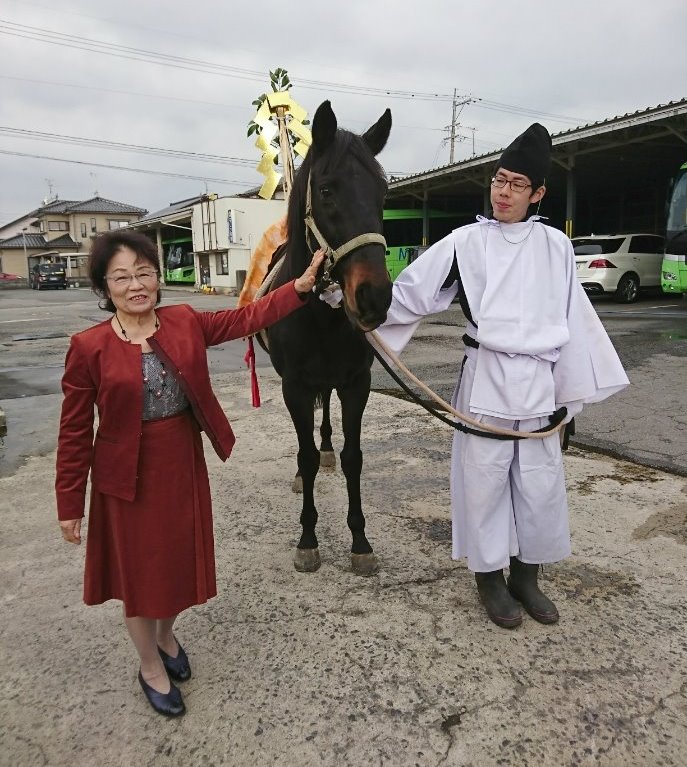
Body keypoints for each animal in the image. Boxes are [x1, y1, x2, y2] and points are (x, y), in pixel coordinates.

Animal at [266, 99, 392, 572]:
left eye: (383, 194)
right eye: (325, 191)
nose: (374, 296)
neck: (321, 316)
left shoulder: (357, 383)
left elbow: (355, 457)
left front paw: (360, 541)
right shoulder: (295, 387)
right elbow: (302, 453)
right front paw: (307, 538)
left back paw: (327, 452)